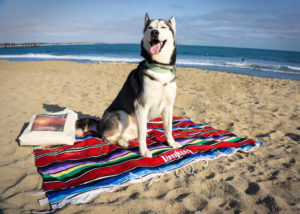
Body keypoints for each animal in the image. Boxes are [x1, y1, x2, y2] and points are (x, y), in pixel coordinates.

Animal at [99, 13, 182, 157]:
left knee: (125, 136)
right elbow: (142, 132)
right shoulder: (141, 106)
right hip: (121, 114)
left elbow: (168, 128)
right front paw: (144, 151)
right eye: (150, 28)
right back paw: (120, 142)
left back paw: (123, 141)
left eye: (163, 27)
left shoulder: (168, 106)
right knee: (107, 137)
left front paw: (171, 143)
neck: (160, 68)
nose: (155, 32)